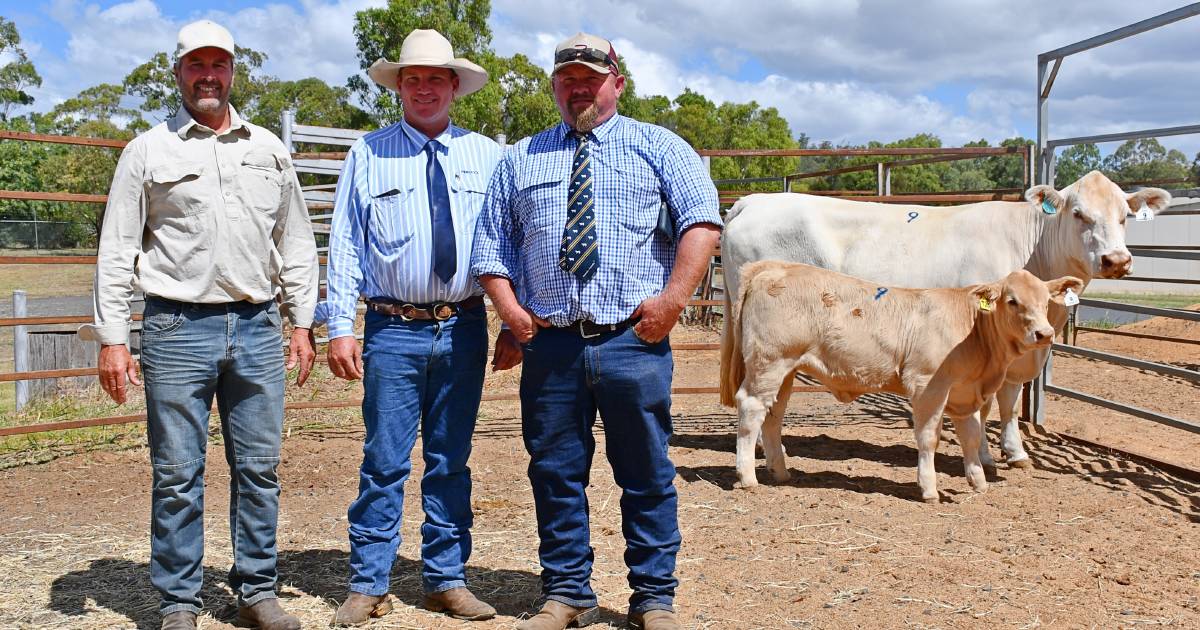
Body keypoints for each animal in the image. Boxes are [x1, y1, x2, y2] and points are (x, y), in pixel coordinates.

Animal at [720, 171, 1171, 470]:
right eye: (1078, 213)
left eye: (1125, 215)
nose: (1117, 260)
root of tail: (754, 200)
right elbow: (986, 406)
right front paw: (986, 455)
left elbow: (1010, 403)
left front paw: (1016, 452)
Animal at [724, 261, 1084, 501]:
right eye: (1012, 301)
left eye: (1045, 300)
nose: (1045, 333)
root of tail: (772, 267)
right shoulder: (928, 385)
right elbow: (929, 439)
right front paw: (929, 488)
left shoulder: (964, 394)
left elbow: (970, 437)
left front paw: (978, 481)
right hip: (770, 362)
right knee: (751, 409)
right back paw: (747, 476)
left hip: (784, 370)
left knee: (773, 415)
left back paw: (780, 472)